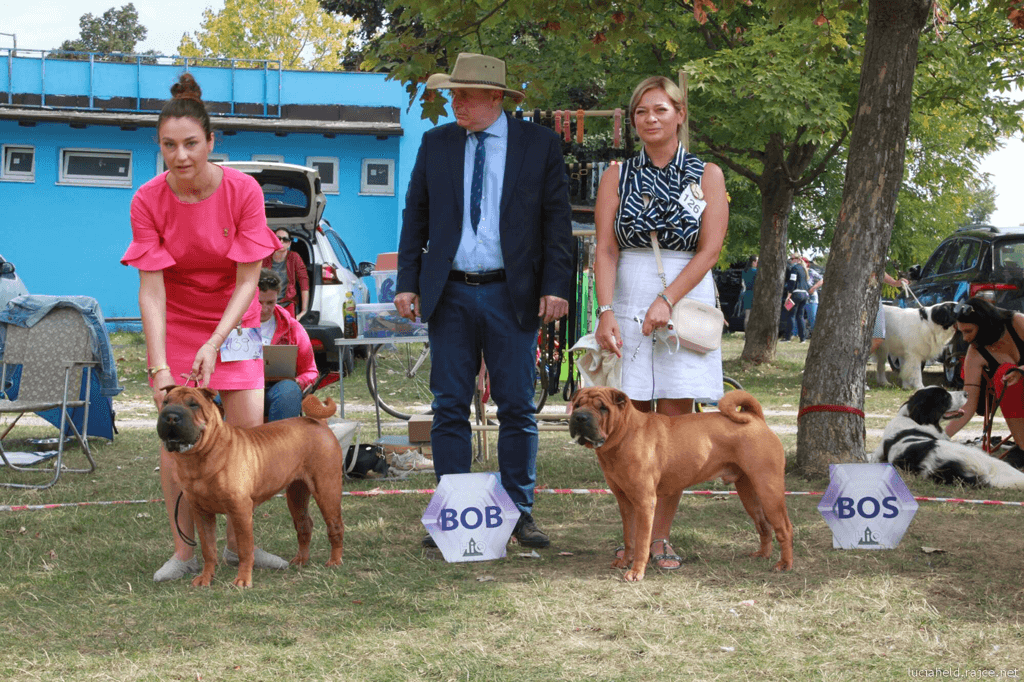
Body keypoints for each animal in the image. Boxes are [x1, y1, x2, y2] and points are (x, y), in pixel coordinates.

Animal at [156, 385, 344, 585]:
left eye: (193, 404)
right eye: (166, 402)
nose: (171, 416)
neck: (200, 457)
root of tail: (319, 422)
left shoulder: (240, 510)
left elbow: (245, 550)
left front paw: (243, 579)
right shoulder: (201, 513)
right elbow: (208, 550)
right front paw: (206, 578)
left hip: (326, 489)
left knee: (335, 526)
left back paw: (335, 560)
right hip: (296, 495)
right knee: (304, 525)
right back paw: (301, 559)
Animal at [569, 387, 790, 577]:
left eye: (603, 407)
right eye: (577, 404)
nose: (580, 417)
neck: (624, 434)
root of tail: (756, 419)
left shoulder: (644, 502)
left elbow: (641, 541)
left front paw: (636, 571)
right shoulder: (624, 501)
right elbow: (629, 537)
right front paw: (624, 562)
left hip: (768, 488)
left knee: (784, 528)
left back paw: (784, 564)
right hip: (748, 492)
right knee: (764, 525)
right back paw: (762, 555)